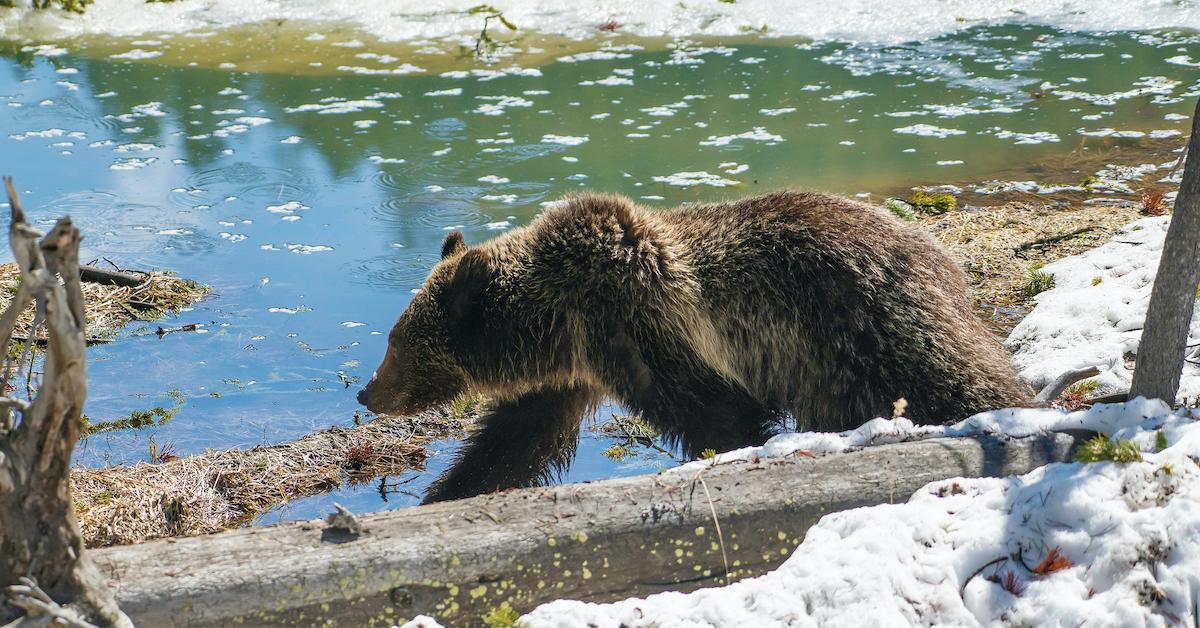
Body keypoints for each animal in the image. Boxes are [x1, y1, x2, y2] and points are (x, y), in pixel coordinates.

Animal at [355, 192, 1032, 501]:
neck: (560, 317)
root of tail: (942, 259)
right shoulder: (572, 372)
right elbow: (514, 441)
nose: (366, 392)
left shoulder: (643, 329)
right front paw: (448, 492)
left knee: (949, 377)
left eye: (396, 343)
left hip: (861, 332)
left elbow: (716, 414)